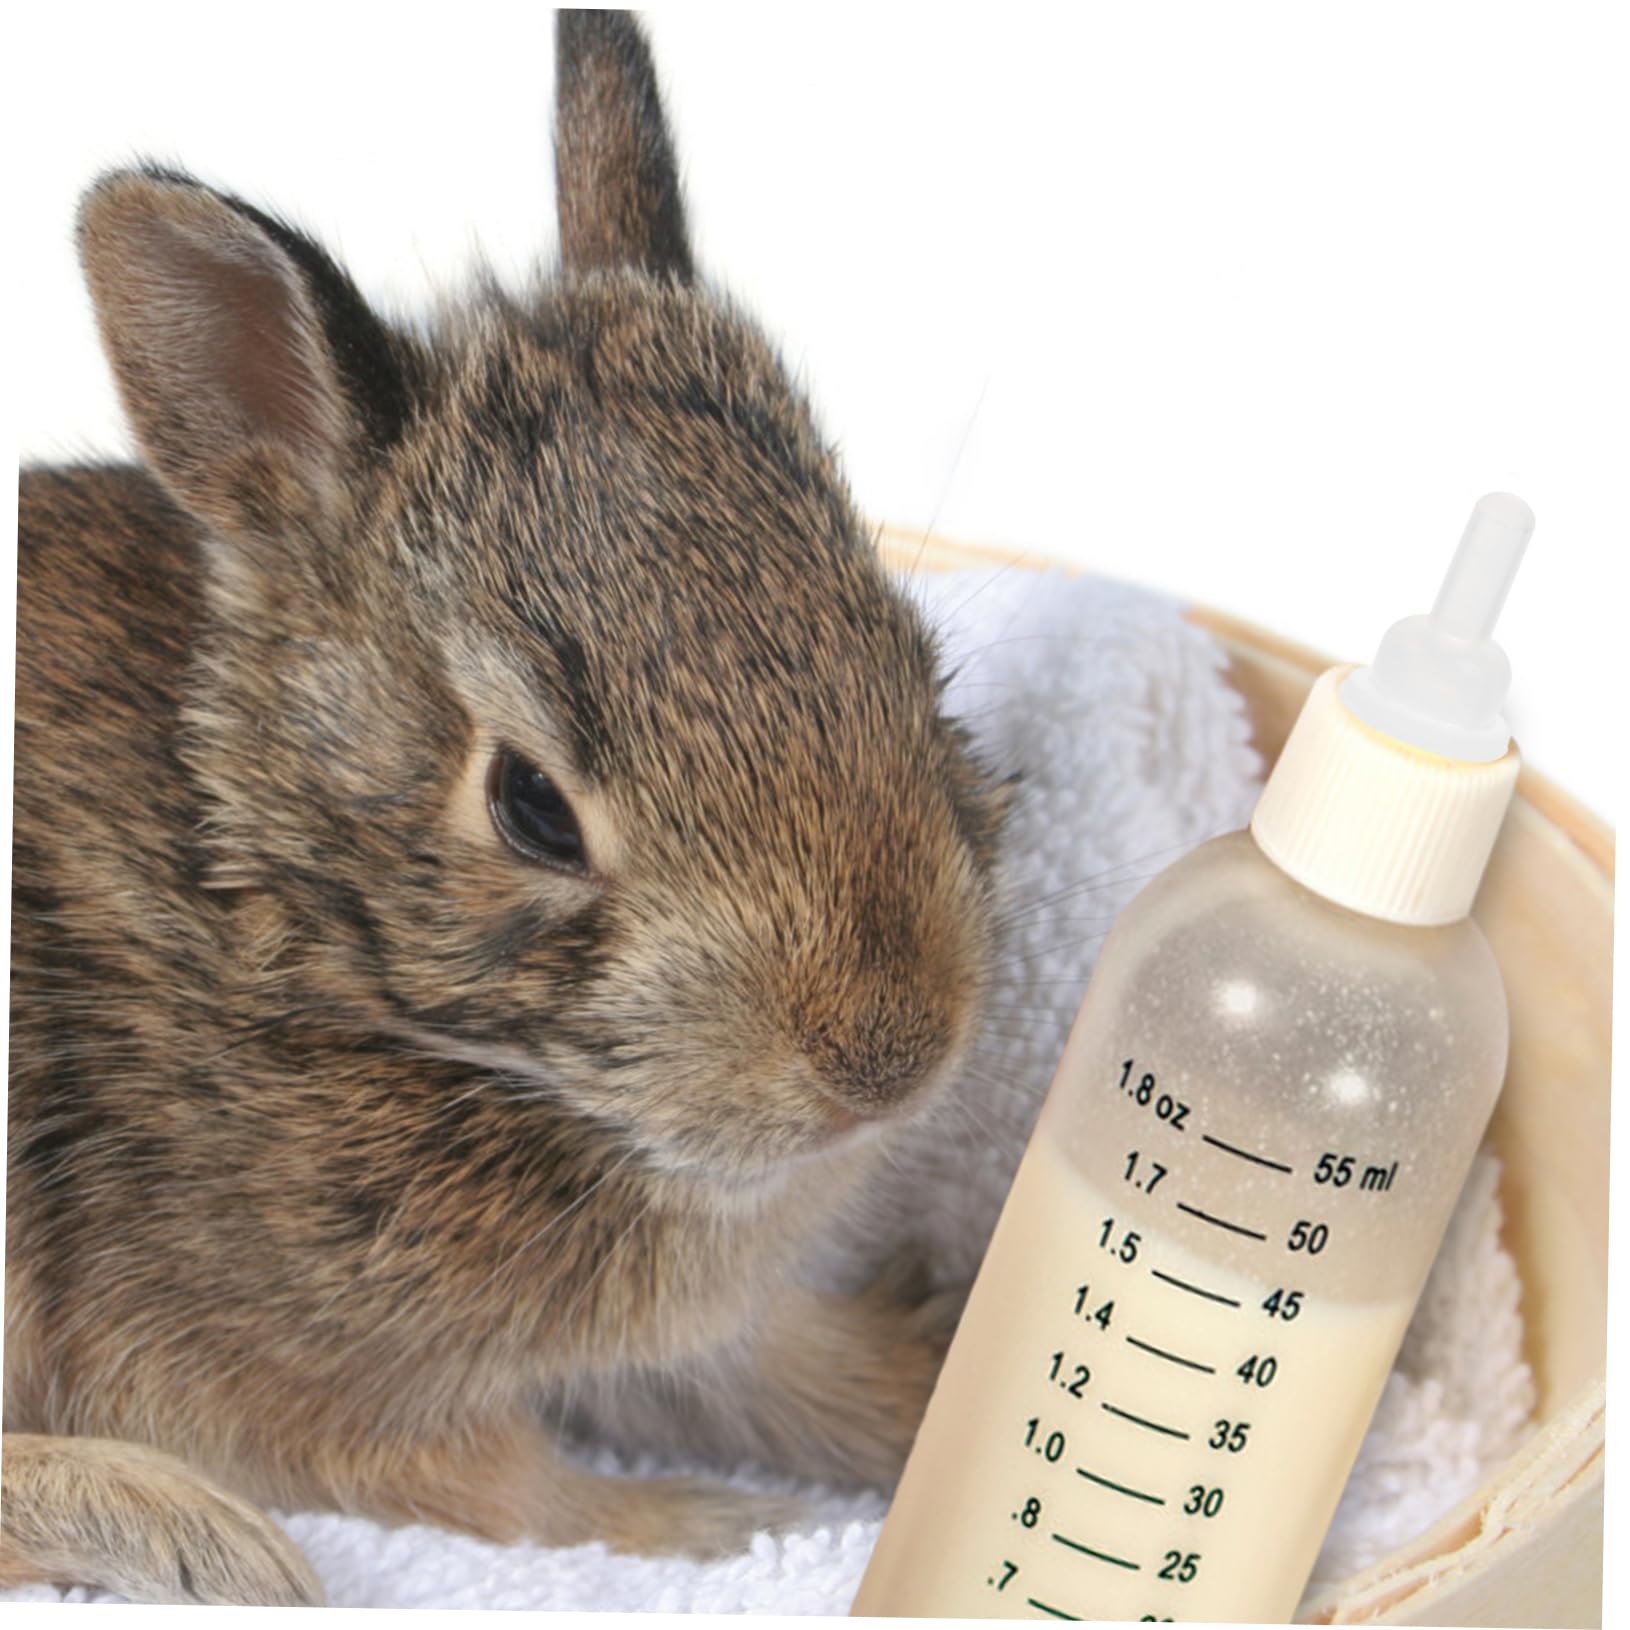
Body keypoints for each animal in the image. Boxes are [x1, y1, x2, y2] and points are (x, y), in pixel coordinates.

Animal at [2, 7, 1015, 1609]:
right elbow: (518, 1491)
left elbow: (793, 1373)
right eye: (532, 806)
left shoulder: (698, 1331)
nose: (887, 1055)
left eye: (912, 658)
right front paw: (708, 1531)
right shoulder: (300, 1389)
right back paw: (185, 1533)